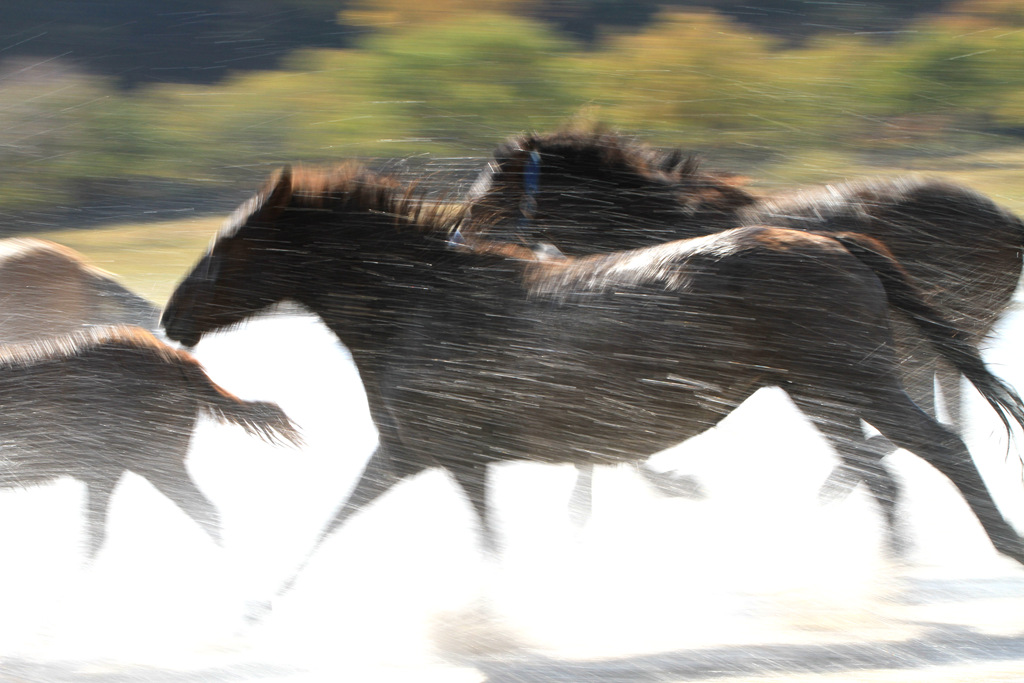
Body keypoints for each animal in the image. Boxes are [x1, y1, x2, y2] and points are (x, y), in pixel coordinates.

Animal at [161, 161, 1024, 589]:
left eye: (231, 245)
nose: (171, 317)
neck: (420, 303)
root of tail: (841, 243)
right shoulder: (414, 453)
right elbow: (331, 525)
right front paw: (254, 608)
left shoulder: (450, 456)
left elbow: (485, 538)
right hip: (823, 394)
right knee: (882, 473)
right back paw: (893, 569)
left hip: (855, 381)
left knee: (938, 446)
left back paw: (1000, 546)